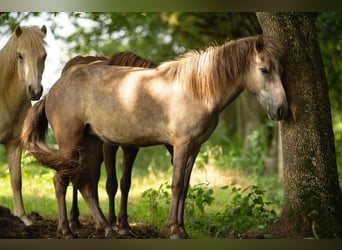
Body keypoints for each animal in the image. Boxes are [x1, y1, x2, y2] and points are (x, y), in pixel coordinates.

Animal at [21, 34, 288, 238]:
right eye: (264, 70)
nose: (280, 110)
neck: (197, 90)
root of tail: (52, 90)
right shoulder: (181, 145)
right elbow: (177, 185)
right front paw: (175, 229)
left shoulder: (194, 147)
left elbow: (185, 186)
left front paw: (182, 228)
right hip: (70, 142)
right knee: (61, 181)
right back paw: (67, 230)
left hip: (91, 143)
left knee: (86, 185)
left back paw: (108, 229)